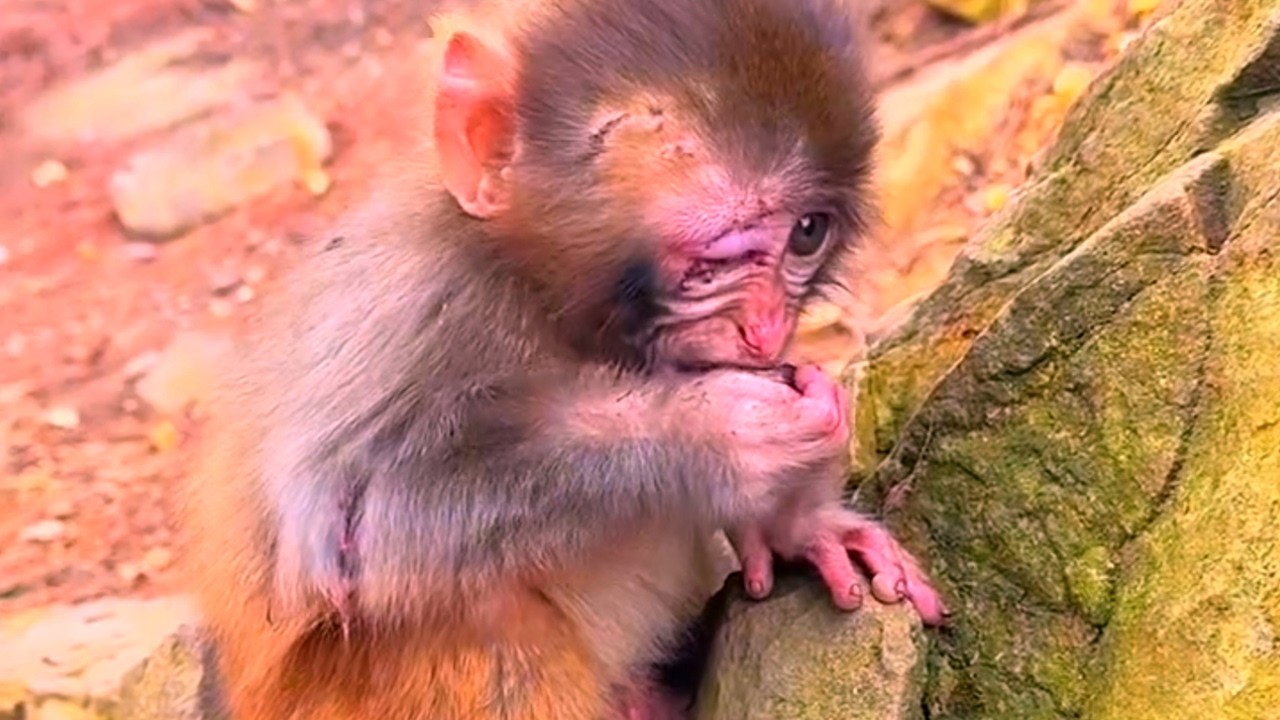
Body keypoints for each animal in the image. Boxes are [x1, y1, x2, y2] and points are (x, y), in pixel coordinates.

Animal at [179, 1, 946, 719]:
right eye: (715, 262)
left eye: (807, 234)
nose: (765, 329)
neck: (540, 295)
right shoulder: (410, 308)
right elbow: (351, 535)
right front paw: (723, 435)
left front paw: (796, 522)